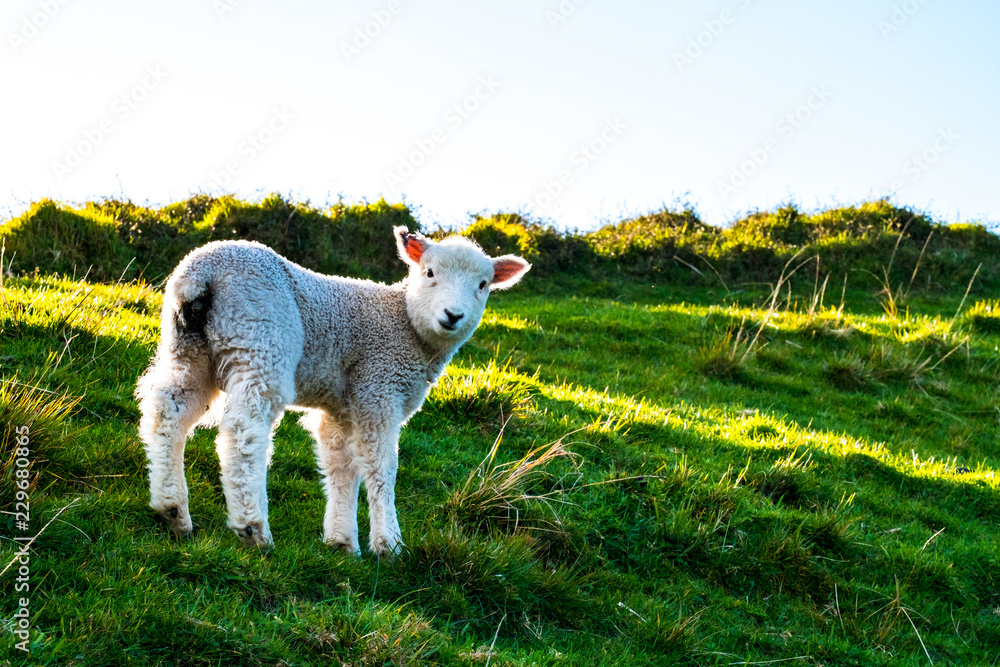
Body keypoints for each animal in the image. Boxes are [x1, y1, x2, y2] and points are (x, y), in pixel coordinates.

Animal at [135, 227, 530, 556]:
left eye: (483, 284)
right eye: (429, 273)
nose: (453, 315)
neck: (404, 324)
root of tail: (201, 272)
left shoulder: (342, 407)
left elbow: (341, 465)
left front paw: (341, 542)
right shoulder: (378, 388)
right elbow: (382, 467)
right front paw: (389, 544)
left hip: (188, 347)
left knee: (168, 410)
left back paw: (172, 509)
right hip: (261, 338)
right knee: (244, 431)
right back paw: (253, 528)